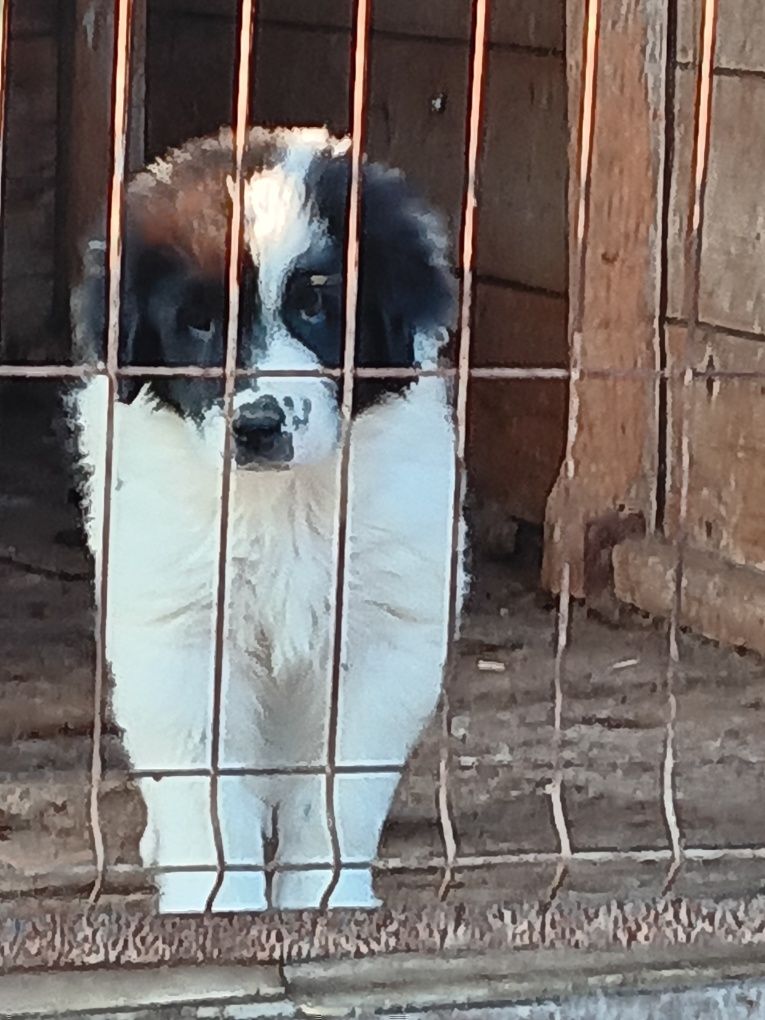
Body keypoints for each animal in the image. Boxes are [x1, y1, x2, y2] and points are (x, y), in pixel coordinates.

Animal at [68, 123, 471, 913]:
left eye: (317, 306)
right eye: (198, 323)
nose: (258, 425)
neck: (282, 505)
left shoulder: (378, 639)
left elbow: (340, 789)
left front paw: (324, 903)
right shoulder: (181, 636)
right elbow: (201, 783)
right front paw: (218, 908)